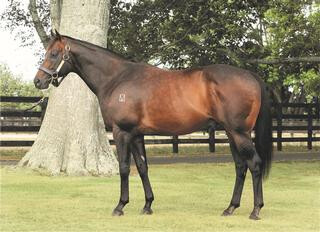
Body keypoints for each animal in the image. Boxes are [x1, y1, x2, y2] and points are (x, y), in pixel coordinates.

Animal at [33, 30, 272, 219]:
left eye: (53, 54)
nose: (38, 81)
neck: (117, 78)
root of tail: (250, 75)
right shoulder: (137, 134)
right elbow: (142, 167)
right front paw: (147, 205)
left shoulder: (122, 132)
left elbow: (123, 167)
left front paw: (120, 206)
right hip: (231, 134)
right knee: (241, 167)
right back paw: (230, 208)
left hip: (239, 133)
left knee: (254, 164)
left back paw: (256, 210)